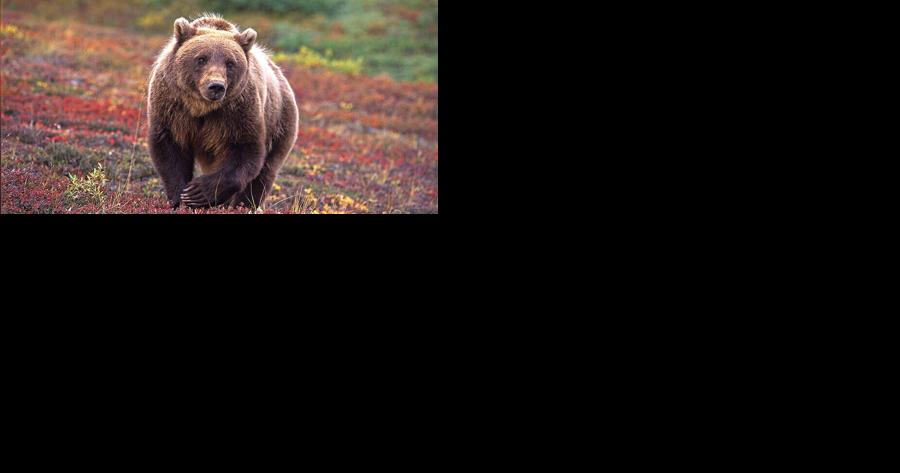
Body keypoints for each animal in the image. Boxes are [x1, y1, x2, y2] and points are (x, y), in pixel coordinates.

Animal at [147, 14, 299, 209]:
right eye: (201, 59)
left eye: (230, 62)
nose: (216, 86)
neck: (201, 107)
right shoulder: (172, 108)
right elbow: (169, 149)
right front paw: (180, 198)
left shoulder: (237, 112)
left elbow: (245, 151)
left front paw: (198, 192)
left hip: (280, 123)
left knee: (265, 171)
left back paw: (244, 205)